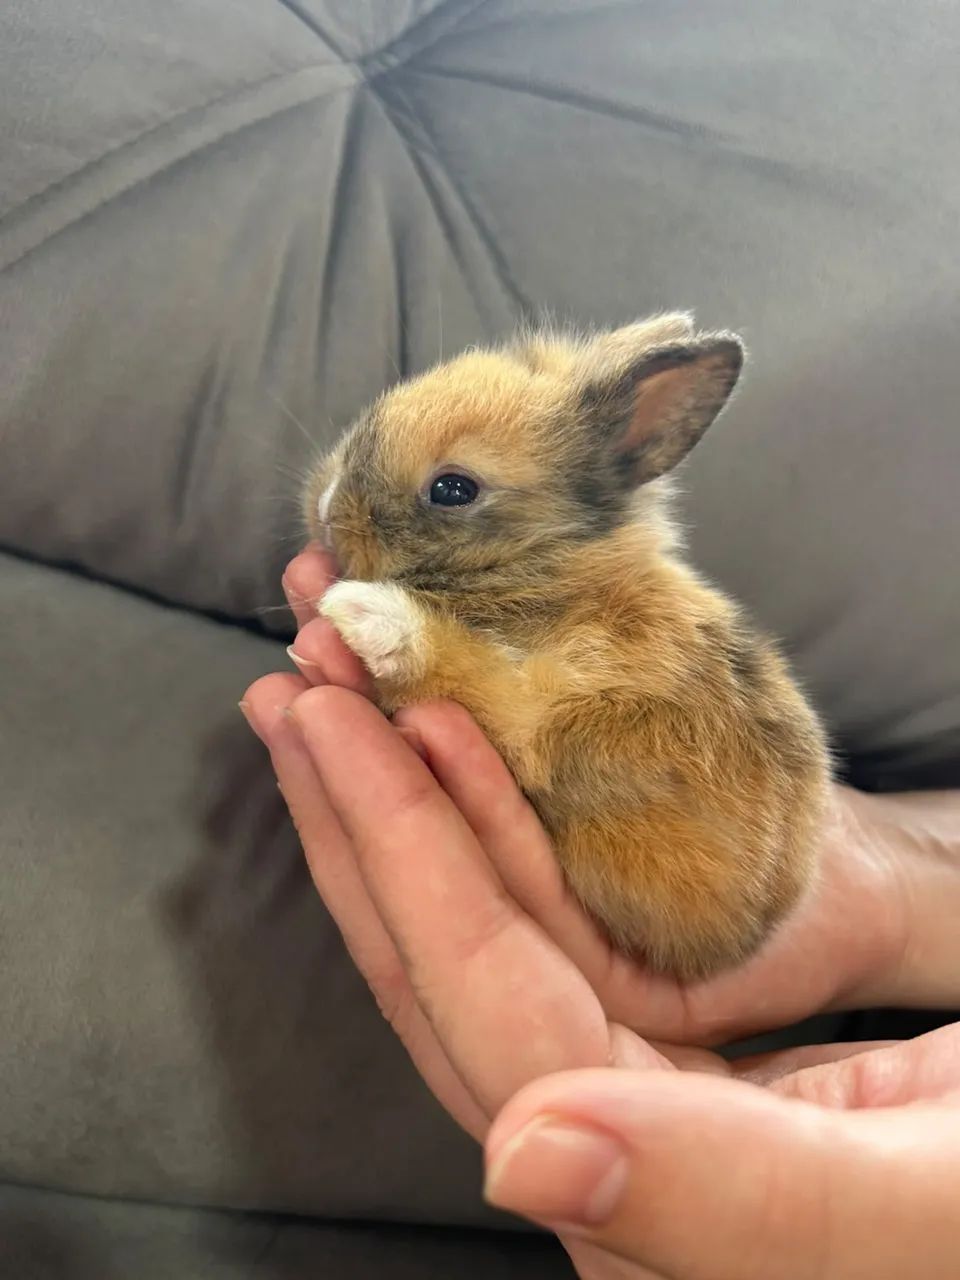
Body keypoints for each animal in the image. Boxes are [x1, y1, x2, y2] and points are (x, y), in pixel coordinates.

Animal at [302, 313, 830, 980]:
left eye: (453, 489)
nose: (325, 509)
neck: (546, 567)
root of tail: (750, 941)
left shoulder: (551, 714)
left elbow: (467, 671)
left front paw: (360, 612)